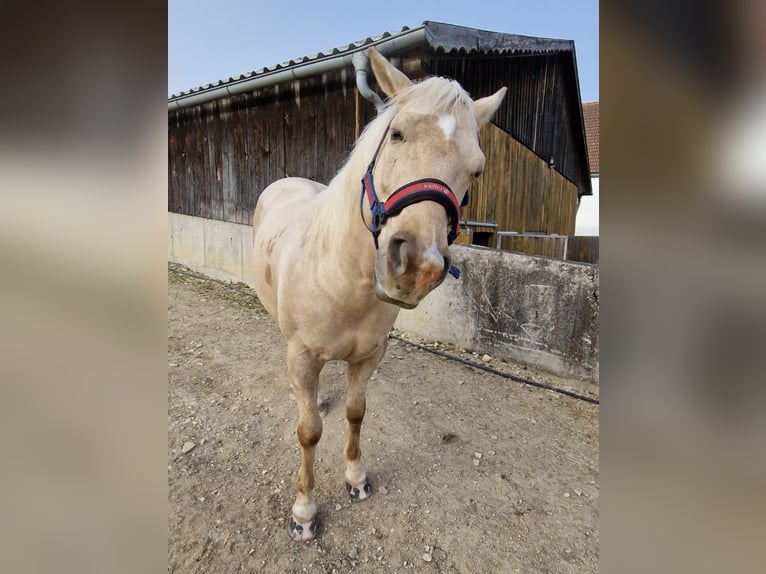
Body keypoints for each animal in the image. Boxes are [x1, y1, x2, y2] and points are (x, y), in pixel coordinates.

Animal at [254, 48, 510, 540]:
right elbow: (308, 432)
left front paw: (355, 479)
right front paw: (304, 511)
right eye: (396, 134)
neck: (341, 278)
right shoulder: (302, 356)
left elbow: (356, 412)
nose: (416, 266)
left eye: (477, 170)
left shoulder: (369, 356)